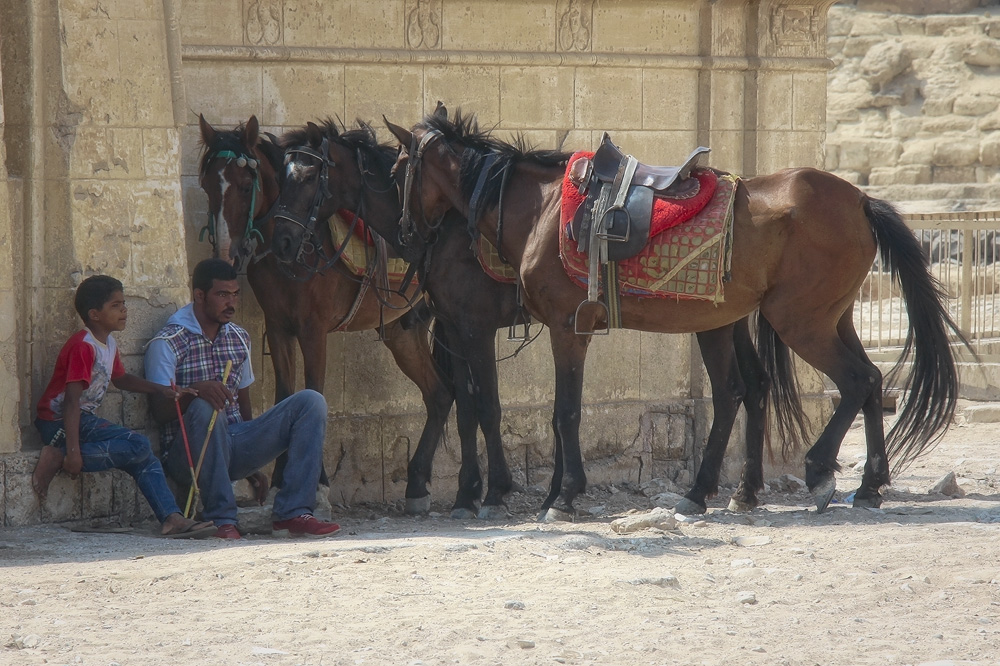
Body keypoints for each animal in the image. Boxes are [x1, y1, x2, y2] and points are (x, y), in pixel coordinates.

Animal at [196, 114, 454, 490]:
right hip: (403, 330)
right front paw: (281, 475)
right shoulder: (278, 328)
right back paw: (418, 480)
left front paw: (315, 478)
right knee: (439, 394)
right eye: (206, 187)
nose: (226, 255)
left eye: (246, 186)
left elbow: (314, 390)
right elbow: (287, 394)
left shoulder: (313, 330)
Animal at [270, 116, 528, 516]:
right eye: (281, 177)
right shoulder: (455, 329)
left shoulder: (477, 329)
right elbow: (467, 409)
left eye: (310, 176)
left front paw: (496, 489)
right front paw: (466, 493)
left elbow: (488, 406)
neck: (443, 232)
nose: (281, 239)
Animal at [386, 110, 964, 520]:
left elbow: (559, 411)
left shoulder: (560, 327)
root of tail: (861, 200)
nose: (407, 234)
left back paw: (819, 472)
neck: (542, 208)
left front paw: (559, 496)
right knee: (855, 384)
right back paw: (858, 486)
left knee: (854, 380)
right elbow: (494, 407)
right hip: (825, 318)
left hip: (801, 321)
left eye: (398, 170)